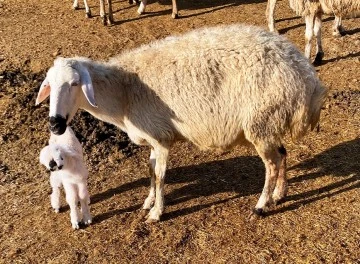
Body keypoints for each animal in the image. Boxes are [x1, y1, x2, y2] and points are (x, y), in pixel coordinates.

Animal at [35, 24, 328, 223]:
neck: (123, 93)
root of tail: (307, 77)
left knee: (272, 164)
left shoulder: (161, 137)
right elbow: (151, 171)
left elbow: (161, 175)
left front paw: (156, 213)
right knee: (283, 154)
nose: (55, 124)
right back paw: (280, 194)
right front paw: (148, 201)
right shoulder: (153, 139)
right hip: (270, 123)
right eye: (48, 85)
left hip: (261, 122)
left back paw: (261, 204)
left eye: (74, 84)